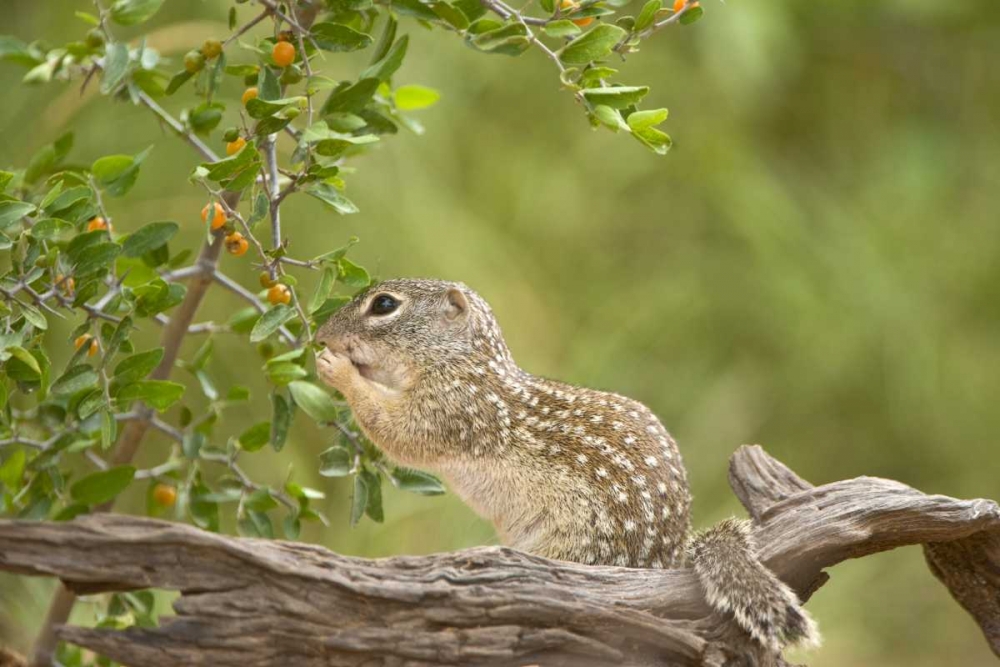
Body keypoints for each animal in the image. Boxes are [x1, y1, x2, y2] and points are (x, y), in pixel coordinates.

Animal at [316, 278, 819, 652]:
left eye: (384, 304)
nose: (321, 334)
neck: (463, 362)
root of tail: (669, 558)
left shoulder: (457, 409)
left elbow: (400, 433)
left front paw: (337, 368)